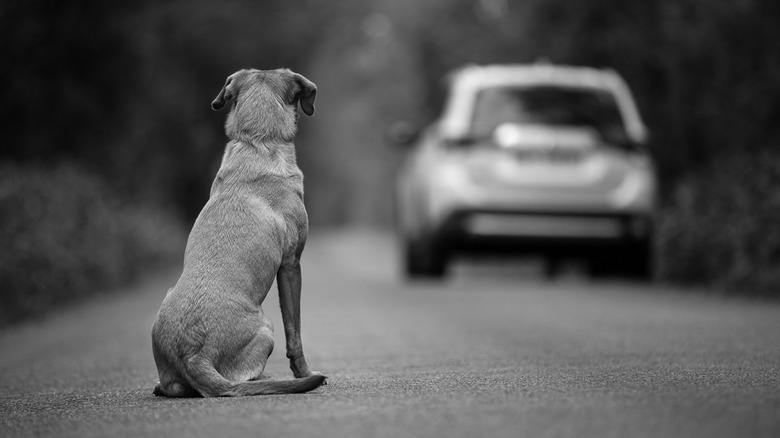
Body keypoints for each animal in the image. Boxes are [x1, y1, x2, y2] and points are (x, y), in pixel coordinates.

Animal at [151, 67, 324, 396]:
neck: (257, 140)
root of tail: (193, 356)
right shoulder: (291, 264)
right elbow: (294, 333)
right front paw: (304, 372)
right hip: (267, 329)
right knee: (245, 377)